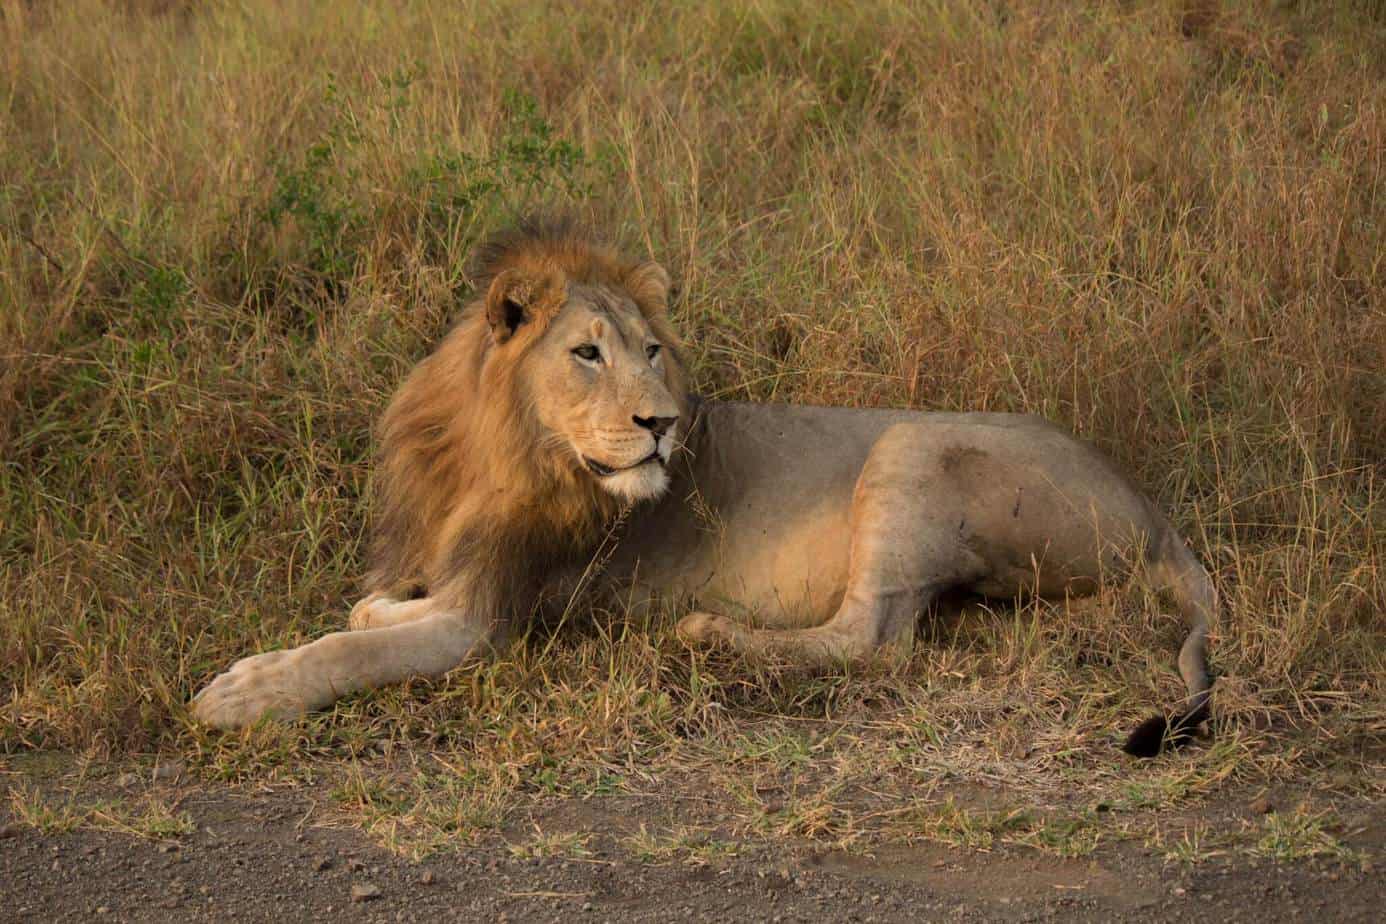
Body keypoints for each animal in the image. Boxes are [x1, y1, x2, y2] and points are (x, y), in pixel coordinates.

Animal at [195, 220, 1214, 753]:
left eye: (652, 351)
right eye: (587, 354)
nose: (663, 423)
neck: (500, 452)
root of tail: (1155, 509)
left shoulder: (490, 624)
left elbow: (349, 648)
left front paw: (245, 691)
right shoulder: (468, 576)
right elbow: (374, 609)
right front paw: (366, 611)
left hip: (911, 446)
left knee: (871, 640)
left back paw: (710, 636)